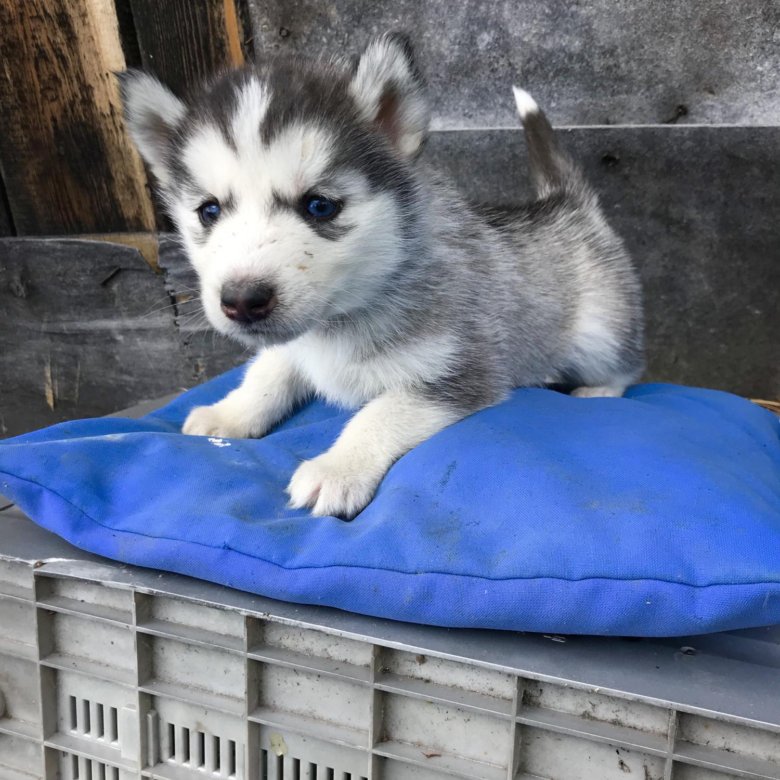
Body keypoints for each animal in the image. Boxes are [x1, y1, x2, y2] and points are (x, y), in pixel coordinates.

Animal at [120, 33, 640, 516]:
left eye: (320, 206)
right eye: (208, 211)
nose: (243, 301)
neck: (341, 320)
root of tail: (564, 203)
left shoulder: (459, 371)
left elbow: (379, 412)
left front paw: (336, 468)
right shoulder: (293, 346)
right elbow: (267, 372)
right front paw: (229, 413)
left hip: (600, 333)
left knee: (625, 367)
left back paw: (597, 390)